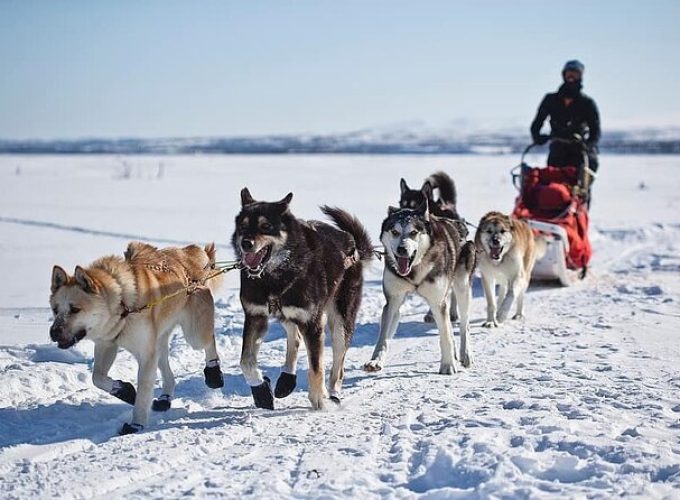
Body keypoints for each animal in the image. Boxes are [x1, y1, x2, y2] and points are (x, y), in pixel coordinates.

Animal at [51, 241, 226, 434]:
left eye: (75, 309)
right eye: (55, 310)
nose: (53, 332)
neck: (123, 305)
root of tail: (192, 252)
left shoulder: (145, 355)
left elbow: (143, 391)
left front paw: (136, 424)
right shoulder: (107, 344)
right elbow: (97, 377)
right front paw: (124, 391)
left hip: (193, 335)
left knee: (209, 341)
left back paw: (214, 373)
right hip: (159, 342)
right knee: (167, 370)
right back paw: (165, 398)